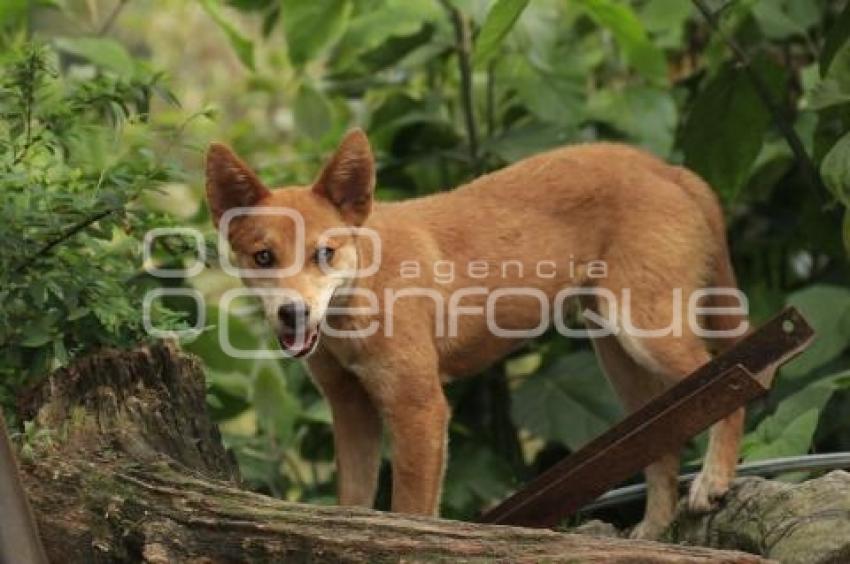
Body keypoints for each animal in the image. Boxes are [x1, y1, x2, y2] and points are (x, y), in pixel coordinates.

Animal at [204, 128, 744, 536]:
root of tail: (664, 167)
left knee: (738, 371)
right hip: (619, 361)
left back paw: (714, 480)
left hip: (647, 335)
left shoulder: (419, 407)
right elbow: (352, 507)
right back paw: (653, 531)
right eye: (263, 257)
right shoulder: (352, 409)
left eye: (324, 253)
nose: (292, 313)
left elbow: (411, 512)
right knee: (664, 444)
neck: (356, 307)